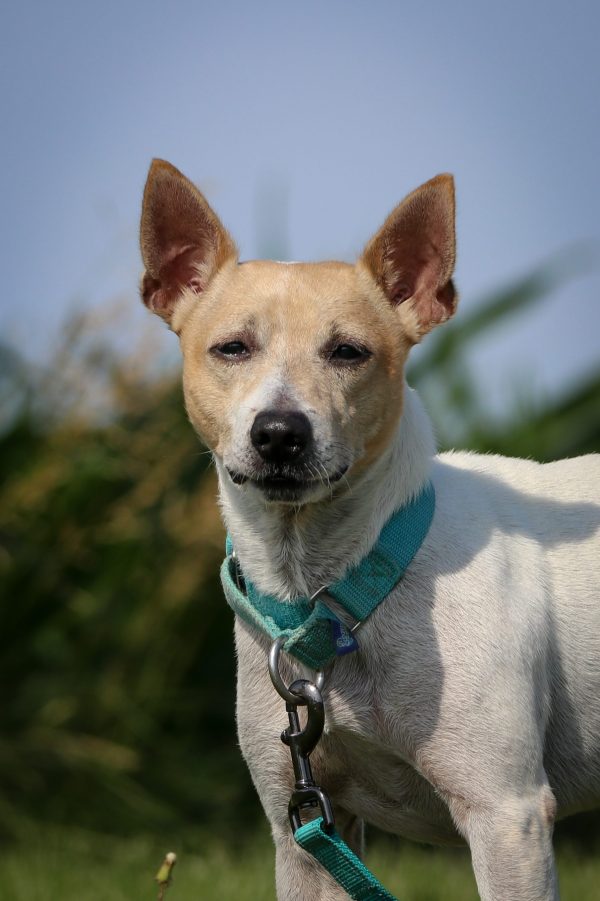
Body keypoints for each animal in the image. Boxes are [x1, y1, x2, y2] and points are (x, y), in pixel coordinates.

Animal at [139, 158, 600, 900]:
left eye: (349, 352)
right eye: (231, 348)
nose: (280, 432)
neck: (337, 593)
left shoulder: (509, 817)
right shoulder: (302, 826)